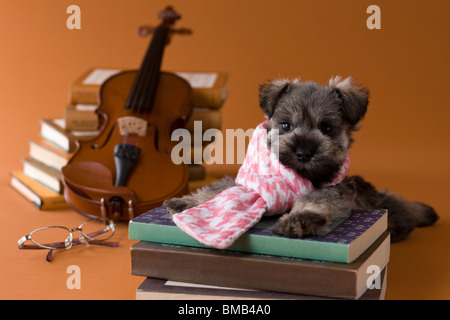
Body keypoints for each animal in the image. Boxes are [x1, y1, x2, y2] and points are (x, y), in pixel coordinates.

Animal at [163, 76, 438, 241]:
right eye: (286, 125)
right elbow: (219, 186)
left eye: (326, 128)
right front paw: (188, 201)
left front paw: (301, 218)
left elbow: (316, 201)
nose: (304, 152)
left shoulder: (334, 190)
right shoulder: (247, 183)